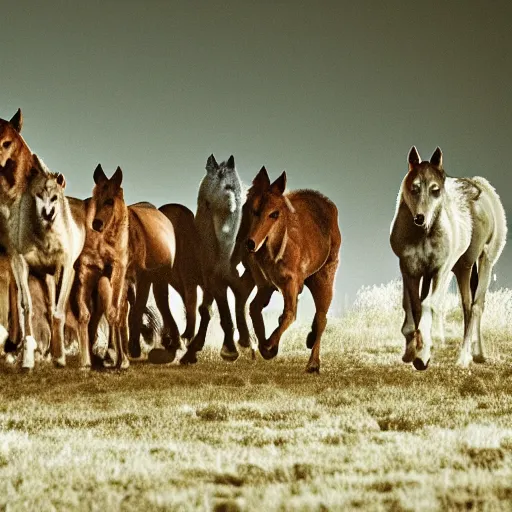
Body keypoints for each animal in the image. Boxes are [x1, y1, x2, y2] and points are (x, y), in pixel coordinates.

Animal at [243, 168, 340, 372]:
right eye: (254, 210)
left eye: (274, 214)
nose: (250, 243)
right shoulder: (266, 285)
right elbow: (255, 308)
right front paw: (266, 348)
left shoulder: (291, 283)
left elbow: (290, 314)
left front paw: (270, 345)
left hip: (324, 277)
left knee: (322, 318)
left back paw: (313, 363)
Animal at [390, 146, 506, 370]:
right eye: (414, 188)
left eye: (435, 189)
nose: (420, 219)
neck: (423, 234)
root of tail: (482, 187)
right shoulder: (410, 269)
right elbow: (413, 306)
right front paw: (411, 351)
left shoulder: (440, 270)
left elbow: (428, 305)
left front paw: (422, 356)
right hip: (458, 268)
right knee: (469, 305)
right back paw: (477, 354)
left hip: (476, 262)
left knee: (473, 306)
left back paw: (465, 357)